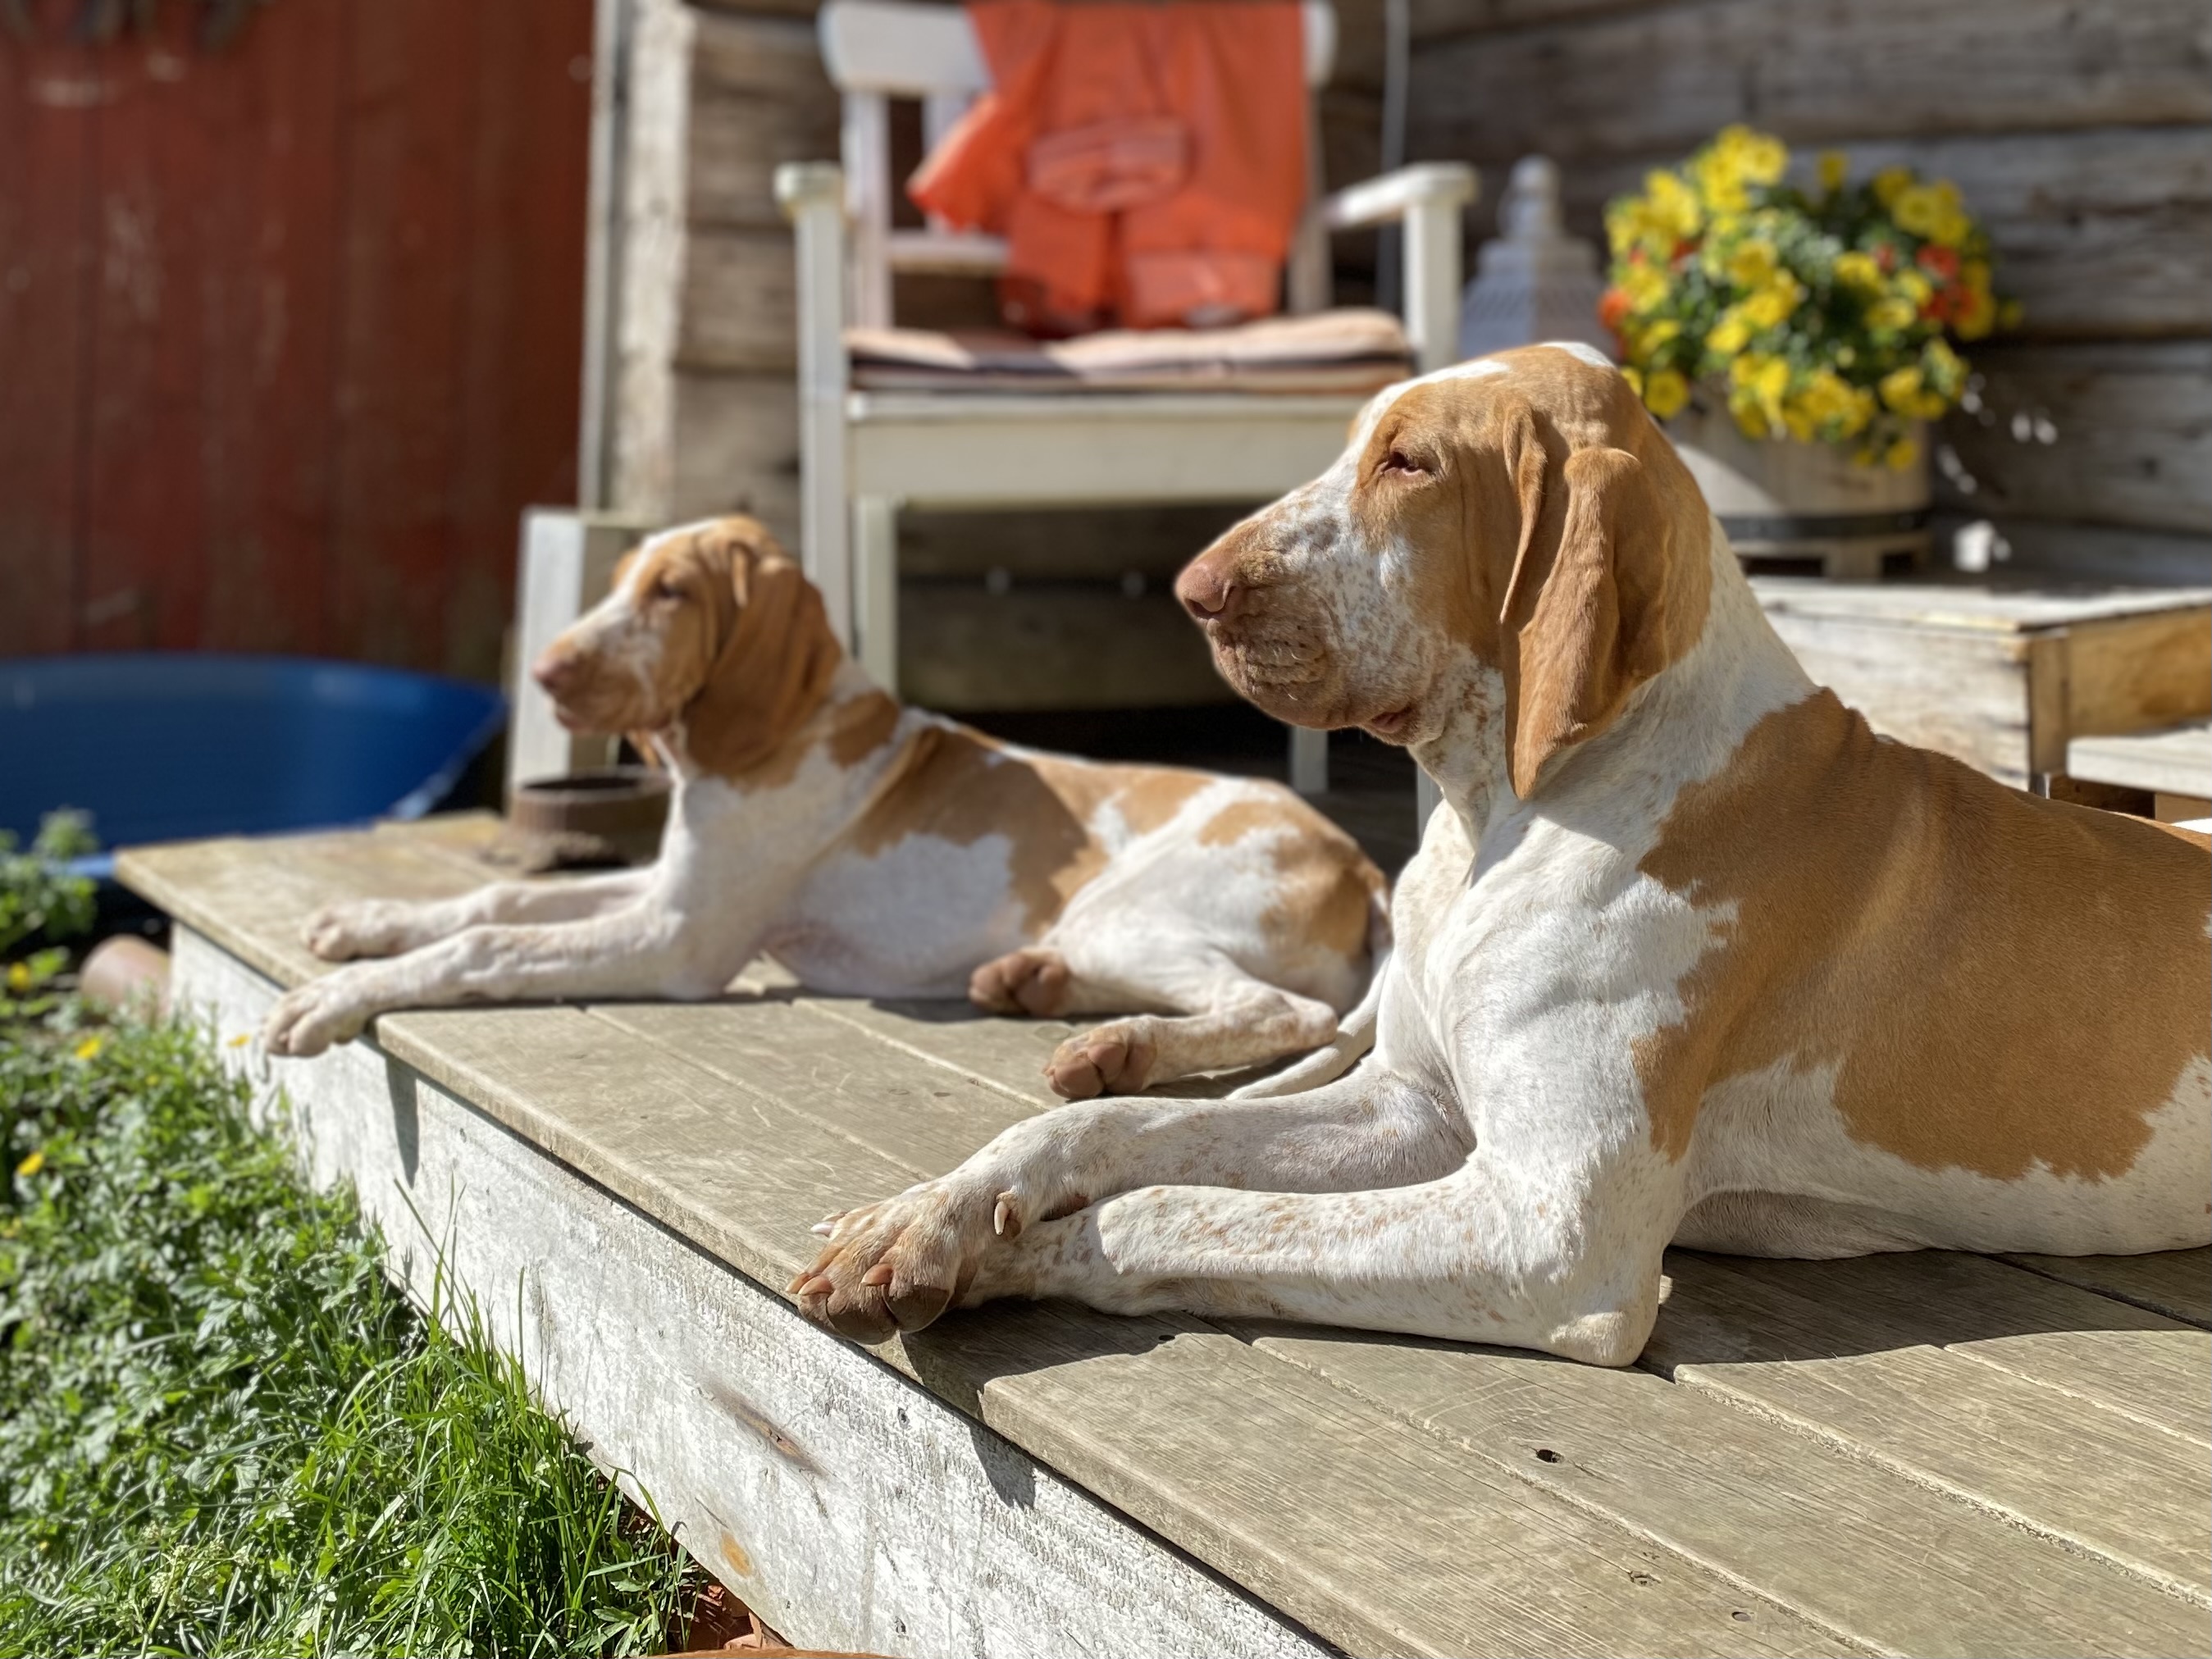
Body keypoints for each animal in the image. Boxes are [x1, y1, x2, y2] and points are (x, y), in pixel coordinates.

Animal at [258, 513, 1380, 1096]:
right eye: (622, 581)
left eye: (672, 594)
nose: (544, 671)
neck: (776, 731)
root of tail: (1360, 861)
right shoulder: (667, 887)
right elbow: (494, 902)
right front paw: (366, 921)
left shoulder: (681, 938)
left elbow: (488, 945)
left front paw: (343, 994)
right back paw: (1032, 984)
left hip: (1123, 911)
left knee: (1283, 1010)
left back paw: (1116, 1049)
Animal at [796, 344, 2212, 1371]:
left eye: (1409, 462)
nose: (1193, 591)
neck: (1500, 816)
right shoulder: (1408, 1109)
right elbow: (1113, 1128)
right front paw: (932, 1212)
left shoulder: (1549, 1233)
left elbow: (1165, 1206)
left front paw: (1015, 1255)